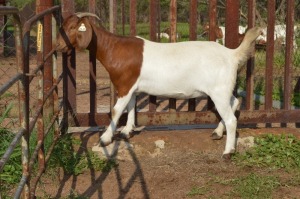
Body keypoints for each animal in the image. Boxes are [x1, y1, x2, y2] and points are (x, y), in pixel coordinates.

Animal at [56, 12, 262, 159]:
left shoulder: (124, 84)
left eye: (74, 27)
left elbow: (116, 110)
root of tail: (232, 54)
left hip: (219, 91)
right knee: (235, 102)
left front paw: (105, 138)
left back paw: (228, 152)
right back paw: (218, 132)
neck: (114, 48)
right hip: (222, 90)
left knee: (231, 119)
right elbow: (131, 107)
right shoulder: (132, 87)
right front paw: (127, 131)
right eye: (62, 26)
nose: (58, 47)